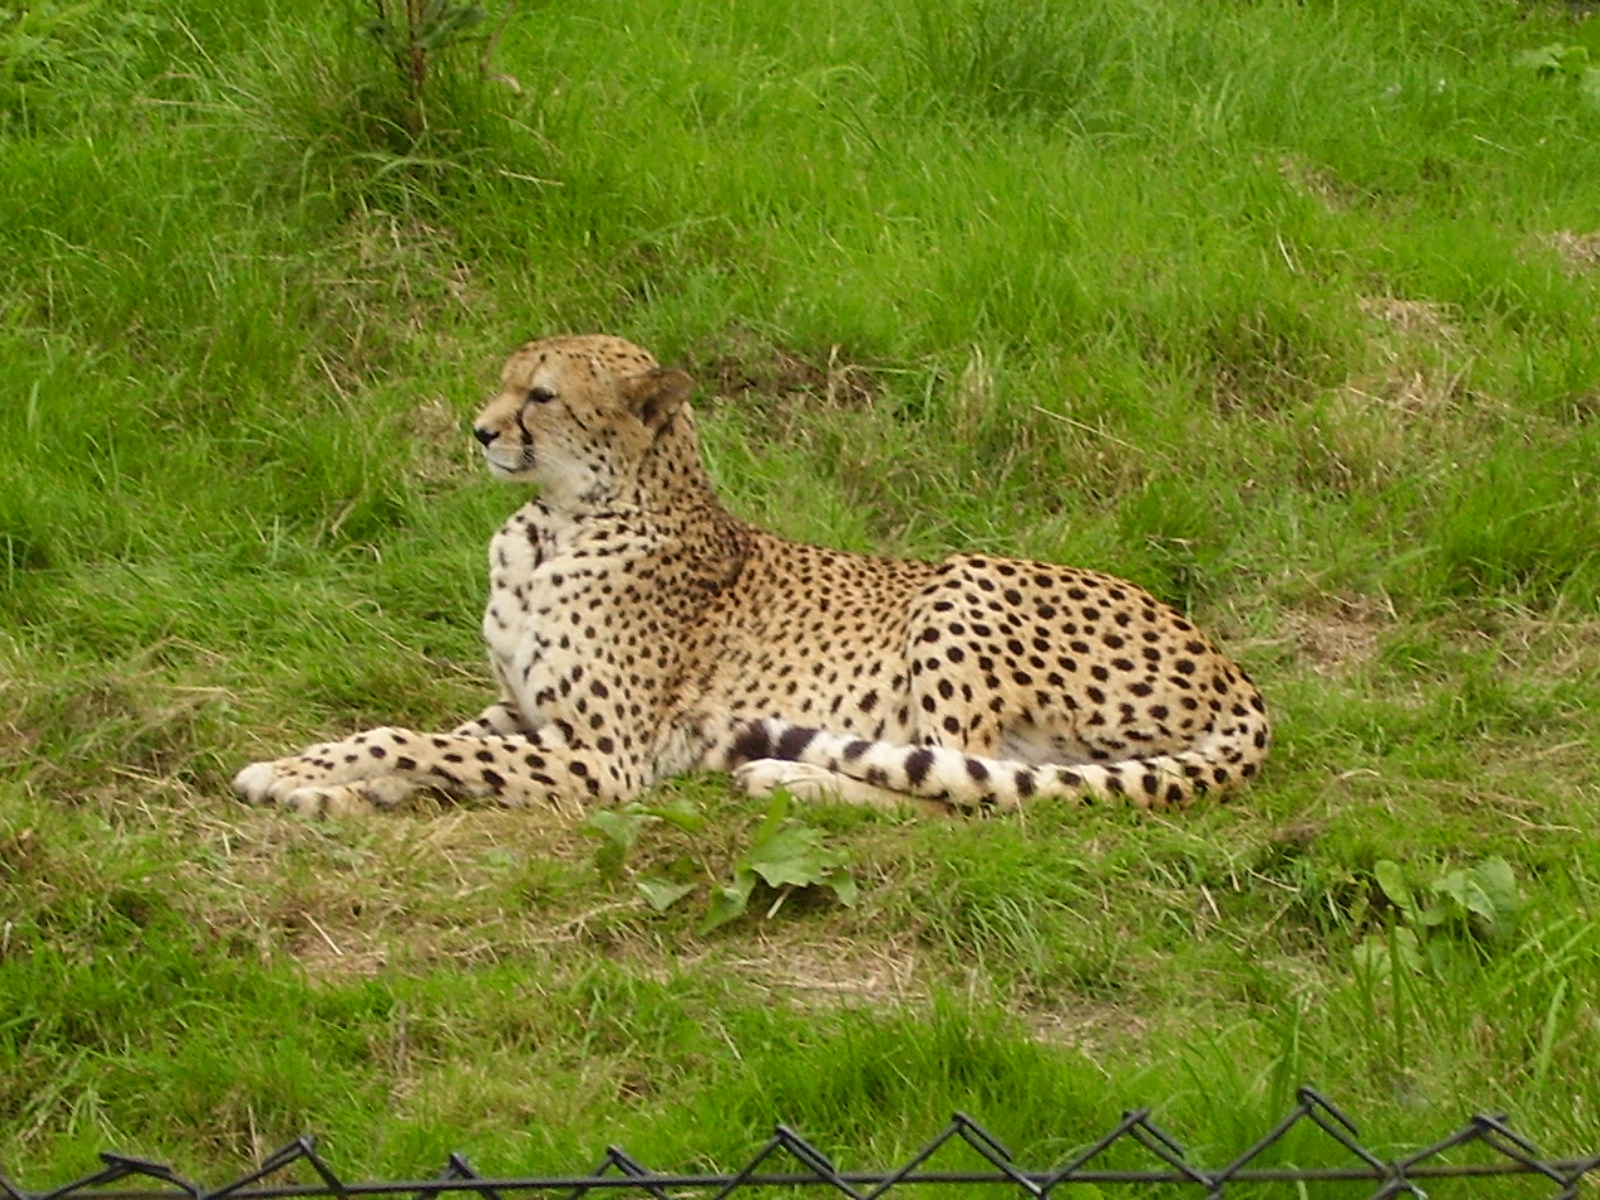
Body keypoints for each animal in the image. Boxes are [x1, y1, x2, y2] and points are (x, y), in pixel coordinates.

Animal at [233, 333, 1269, 819]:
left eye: (542, 396)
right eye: (505, 382)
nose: (480, 431)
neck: (555, 521)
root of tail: (1235, 672)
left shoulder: (605, 760)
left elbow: (414, 741)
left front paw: (297, 775)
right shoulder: (523, 713)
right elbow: (422, 738)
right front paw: (324, 779)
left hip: (963, 583)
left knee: (969, 791)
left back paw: (792, 778)